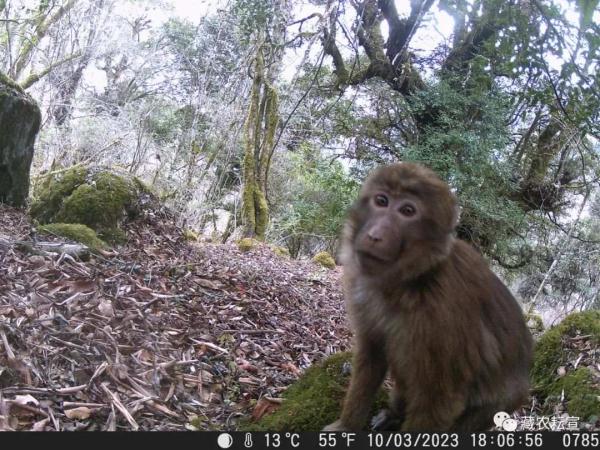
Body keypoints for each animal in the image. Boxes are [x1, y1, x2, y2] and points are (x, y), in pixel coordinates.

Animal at [326, 163, 532, 432]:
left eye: (407, 211)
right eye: (381, 201)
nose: (374, 235)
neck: (411, 281)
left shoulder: (443, 317)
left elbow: (439, 400)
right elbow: (371, 355)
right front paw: (346, 426)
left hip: (501, 404)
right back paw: (394, 413)